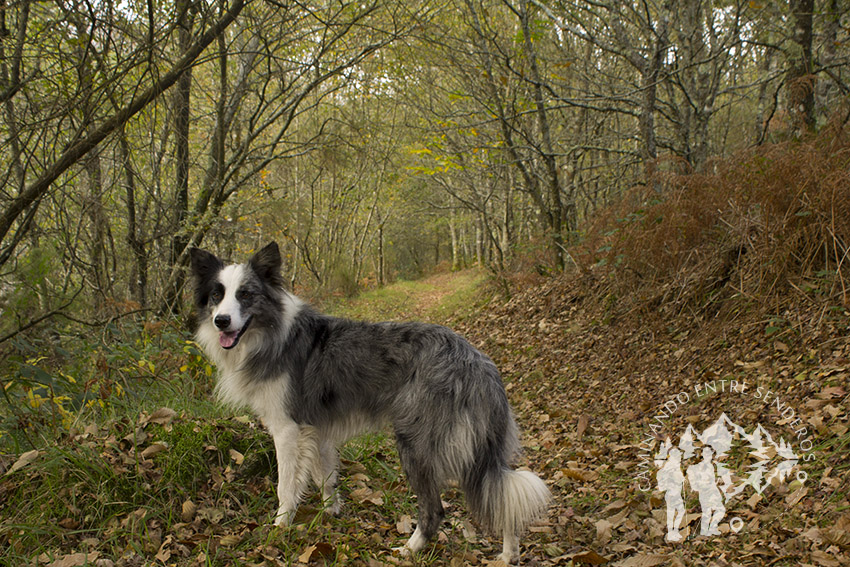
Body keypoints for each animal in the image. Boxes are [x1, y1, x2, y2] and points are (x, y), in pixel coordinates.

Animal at [189, 243, 548, 564]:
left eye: (245, 295)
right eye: (217, 295)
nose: (222, 321)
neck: (271, 334)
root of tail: (477, 362)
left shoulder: (287, 429)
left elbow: (285, 485)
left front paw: (280, 526)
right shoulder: (317, 430)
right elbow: (325, 476)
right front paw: (330, 512)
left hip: (418, 445)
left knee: (436, 509)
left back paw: (409, 549)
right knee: (500, 497)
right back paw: (508, 554)